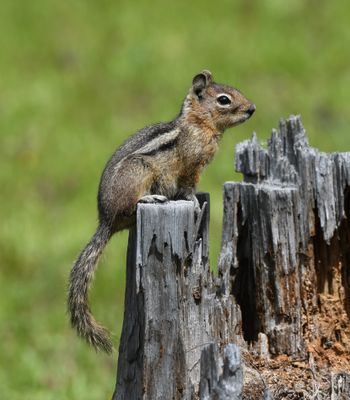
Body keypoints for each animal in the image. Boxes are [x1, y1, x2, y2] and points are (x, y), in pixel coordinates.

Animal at [67, 69, 254, 354]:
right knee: (131, 205)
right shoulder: (191, 167)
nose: (252, 109)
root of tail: (105, 220)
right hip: (139, 172)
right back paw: (151, 196)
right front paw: (193, 201)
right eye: (224, 99)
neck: (197, 124)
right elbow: (188, 188)